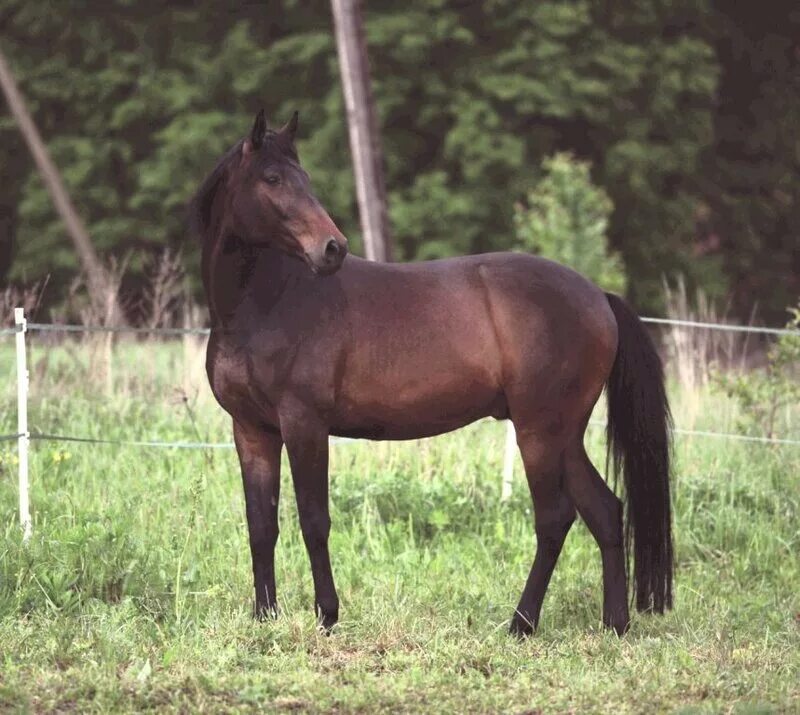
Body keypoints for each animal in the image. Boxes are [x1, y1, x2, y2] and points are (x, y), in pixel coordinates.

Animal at [191, 109, 672, 636]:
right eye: (273, 178)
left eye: (305, 179)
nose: (332, 248)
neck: (267, 303)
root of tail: (597, 296)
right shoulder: (251, 430)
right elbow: (262, 525)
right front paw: (264, 616)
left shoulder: (304, 425)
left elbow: (314, 521)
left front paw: (327, 616)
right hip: (564, 434)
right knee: (604, 510)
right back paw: (614, 623)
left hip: (540, 432)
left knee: (554, 517)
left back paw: (521, 623)